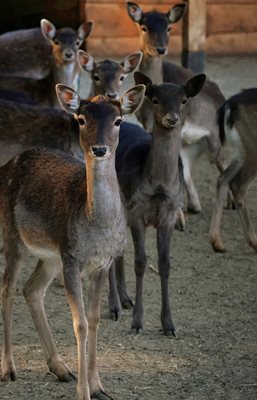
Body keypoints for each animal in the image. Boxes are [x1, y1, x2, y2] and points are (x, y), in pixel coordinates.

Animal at [0, 83, 144, 398]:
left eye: (118, 121)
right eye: (81, 119)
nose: (99, 149)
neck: (98, 230)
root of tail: (7, 165)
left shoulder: (101, 263)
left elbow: (95, 319)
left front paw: (99, 386)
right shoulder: (72, 259)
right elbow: (79, 323)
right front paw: (84, 392)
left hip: (50, 256)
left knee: (31, 289)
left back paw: (60, 368)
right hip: (14, 237)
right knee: (7, 288)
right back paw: (9, 368)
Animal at [109, 72, 205, 334]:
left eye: (183, 100)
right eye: (154, 99)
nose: (171, 118)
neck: (159, 188)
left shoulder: (170, 214)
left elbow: (164, 264)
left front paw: (169, 325)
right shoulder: (137, 212)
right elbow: (141, 262)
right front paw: (137, 323)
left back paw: (125, 299)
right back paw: (114, 307)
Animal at [125, 1, 224, 214]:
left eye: (169, 27)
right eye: (144, 27)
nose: (160, 49)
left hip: (215, 136)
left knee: (223, 162)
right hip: (188, 144)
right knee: (187, 168)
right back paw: (194, 206)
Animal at [209, 89, 256, 253]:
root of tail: (229, 104)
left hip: (241, 151)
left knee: (225, 179)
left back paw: (217, 242)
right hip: (252, 148)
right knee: (238, 184)